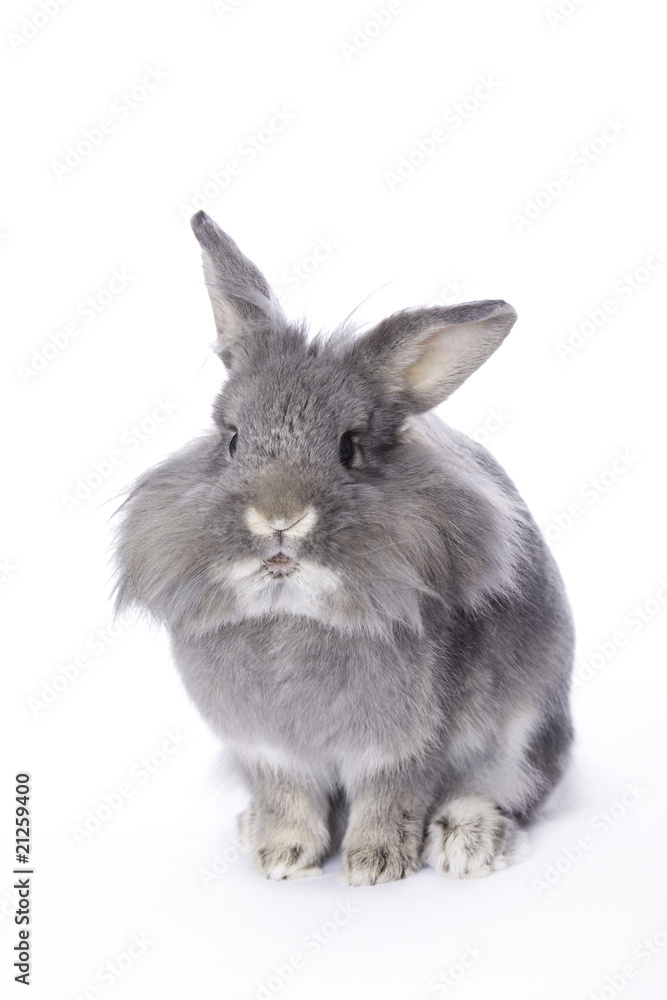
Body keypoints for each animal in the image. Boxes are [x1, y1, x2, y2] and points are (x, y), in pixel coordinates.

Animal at [113, 210, 575, 885]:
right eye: (231, 440)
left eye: (349, 447)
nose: (279, 519)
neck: (292, 611)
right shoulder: (268, 752)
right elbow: (289, 800)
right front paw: (283, 859)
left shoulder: (402, 747)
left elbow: (391, 799)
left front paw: (375, 866)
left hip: (526, 740)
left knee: (515, 794)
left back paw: (467, 841)